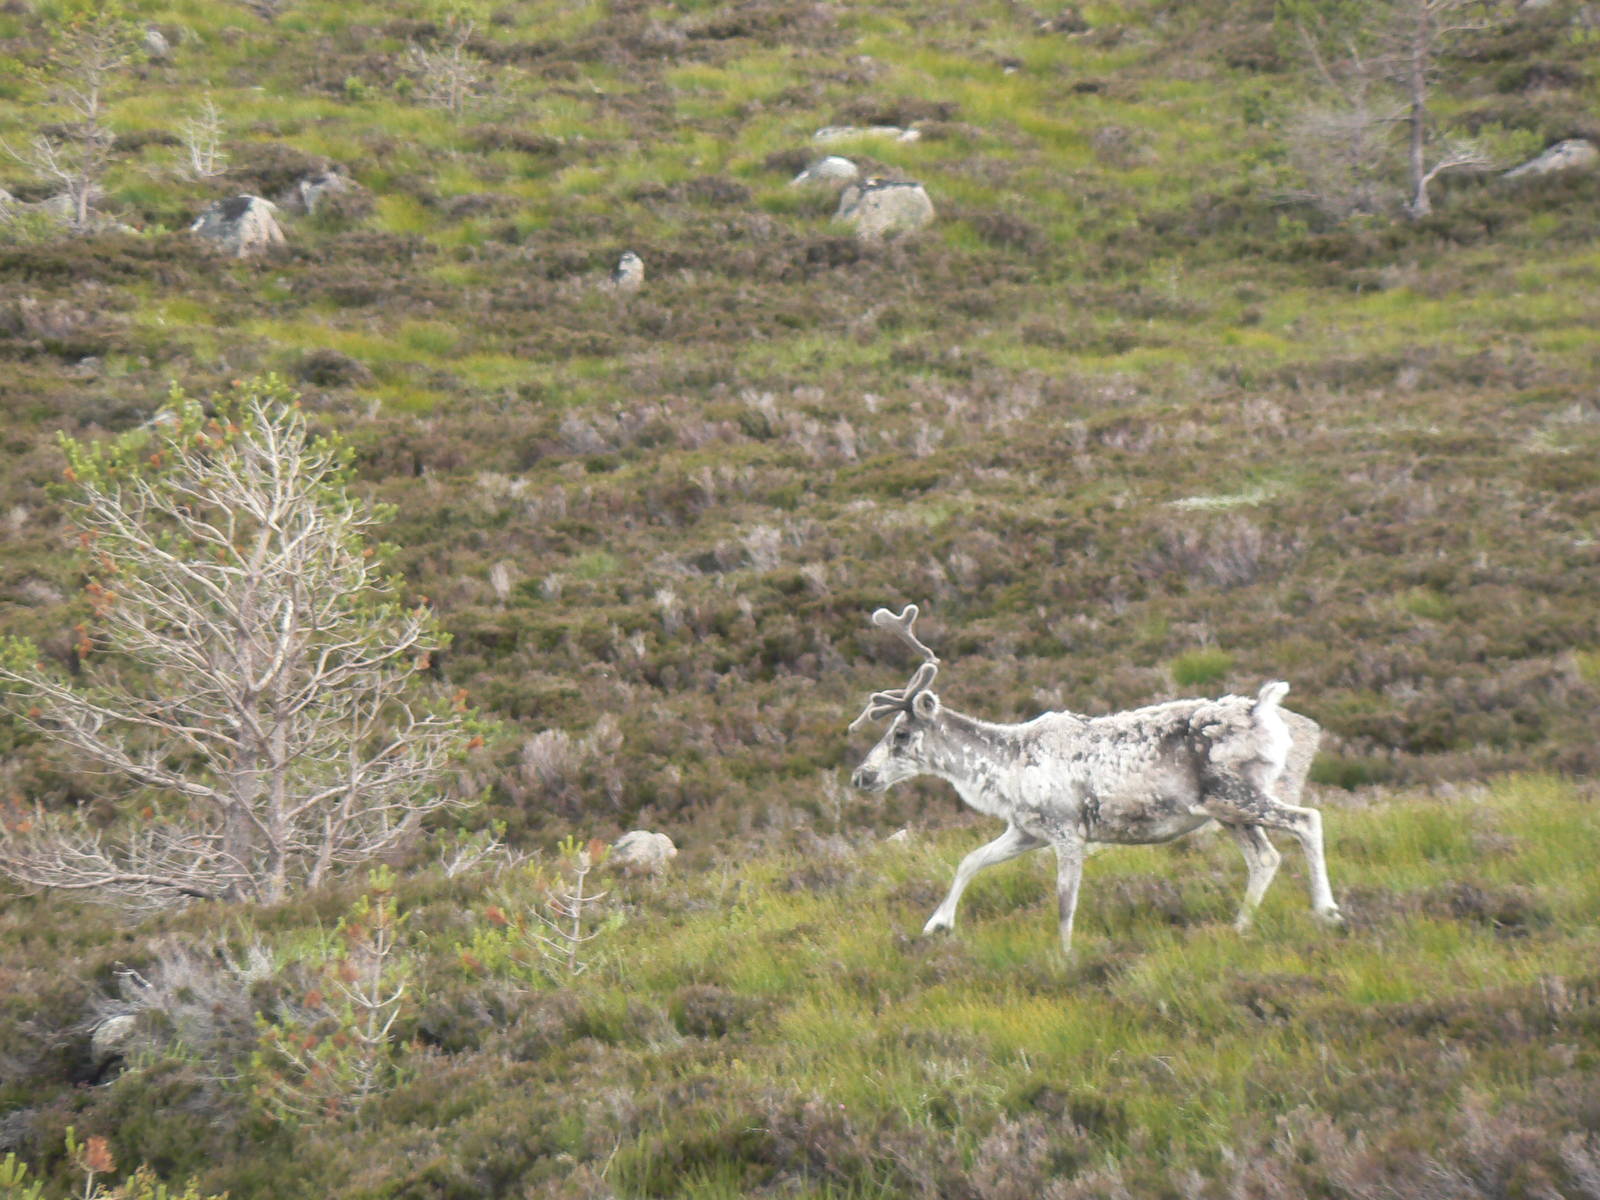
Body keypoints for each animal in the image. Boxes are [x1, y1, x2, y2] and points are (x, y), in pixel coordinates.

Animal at [848, 605, 1343, 953]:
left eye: (900, 733)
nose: (861, 777)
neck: (1007, 769)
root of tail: (1265, 708)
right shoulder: (1027, 831)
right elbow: (970, 860)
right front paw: (937, 925)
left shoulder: (1069, 831)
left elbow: (1065, 903)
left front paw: (1064, 958)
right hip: (1225, 812)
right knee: (1265, 858)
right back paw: (1240, 926)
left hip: (1237, 796)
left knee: (1307, 820)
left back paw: (1327, 911)